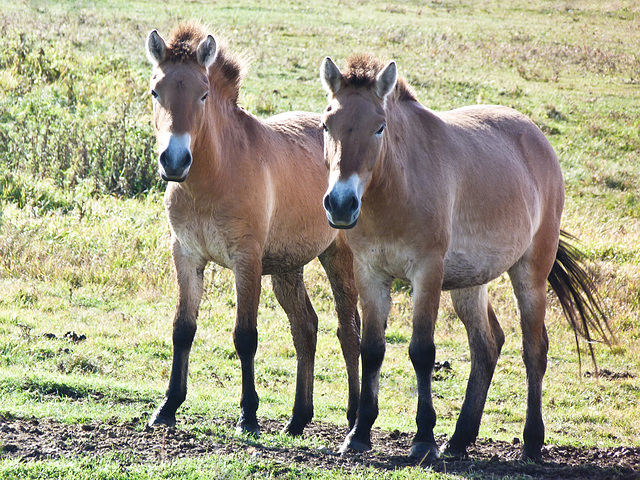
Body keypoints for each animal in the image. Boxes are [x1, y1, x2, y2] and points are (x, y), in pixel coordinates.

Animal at [145, 21, 362, 436]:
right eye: (155, 91)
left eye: (203, 94)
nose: (174, 161)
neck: (213, 176)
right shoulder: (186, 255)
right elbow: (183, 329)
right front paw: (167, 407)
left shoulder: (246, 262)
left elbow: (245, 337)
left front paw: (248, 415)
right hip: (288, 267)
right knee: (306, 328)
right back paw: (297, 419)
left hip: (338, 257)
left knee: (349, 331)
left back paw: (354, 419)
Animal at [320, 53, 608, 462]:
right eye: (327, 125)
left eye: (379, 128)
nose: (341, 204)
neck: (397, 188)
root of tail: (536, 137)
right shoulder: (370, 274)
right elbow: (372, 349)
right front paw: (358, 435)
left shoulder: (427, 272)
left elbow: (422, 351)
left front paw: (423, 439)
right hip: (469, 283)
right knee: (487, 344)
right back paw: (459, 438)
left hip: (530, 273)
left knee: (533, 350)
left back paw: (531, 442)